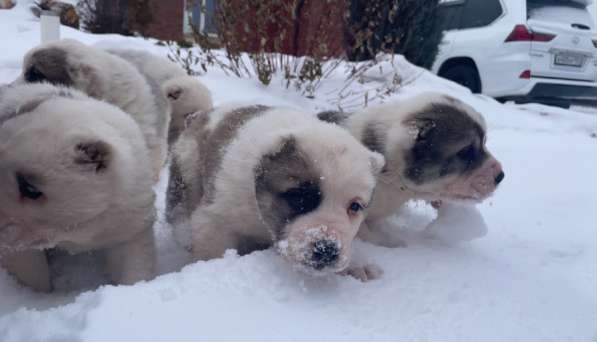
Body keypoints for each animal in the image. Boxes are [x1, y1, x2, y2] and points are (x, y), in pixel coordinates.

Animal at [165, 105, 384, 280]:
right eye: (299, 197)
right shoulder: (214, 219)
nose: (327, 249)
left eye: (355, 206)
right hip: (187, 165)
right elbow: (213, 248)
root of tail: (200, 115)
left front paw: (356, 266)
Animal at [316, 92, 502, 247]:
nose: (501, 176)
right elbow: (364, 231)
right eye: (465, 151)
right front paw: (390, 243)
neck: (392, 178)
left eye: (484, 142)